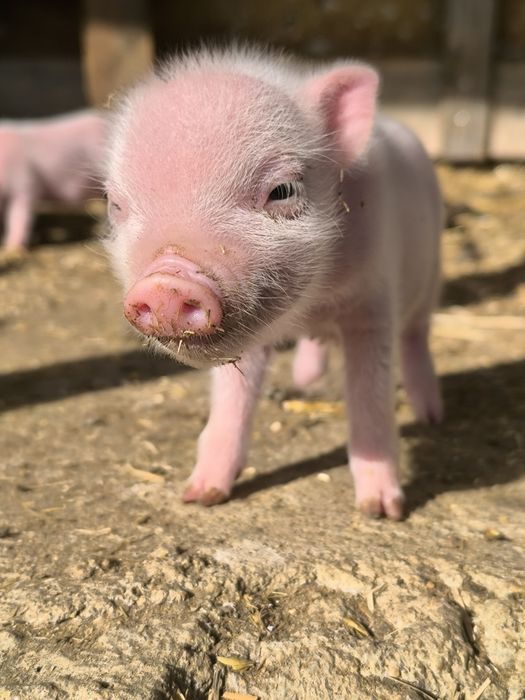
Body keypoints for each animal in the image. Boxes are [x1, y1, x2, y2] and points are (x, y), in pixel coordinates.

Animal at [104, 46, 443, 520]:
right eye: (114, 205)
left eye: (282, 190)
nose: (168, 283)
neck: (311, 306)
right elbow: (232, 401)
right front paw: (200, 495)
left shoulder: (373, 304)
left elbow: (370, 399)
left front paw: (382, 510)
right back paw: (305, 381)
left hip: (431, 276)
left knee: (416, 337)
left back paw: (432, 415)